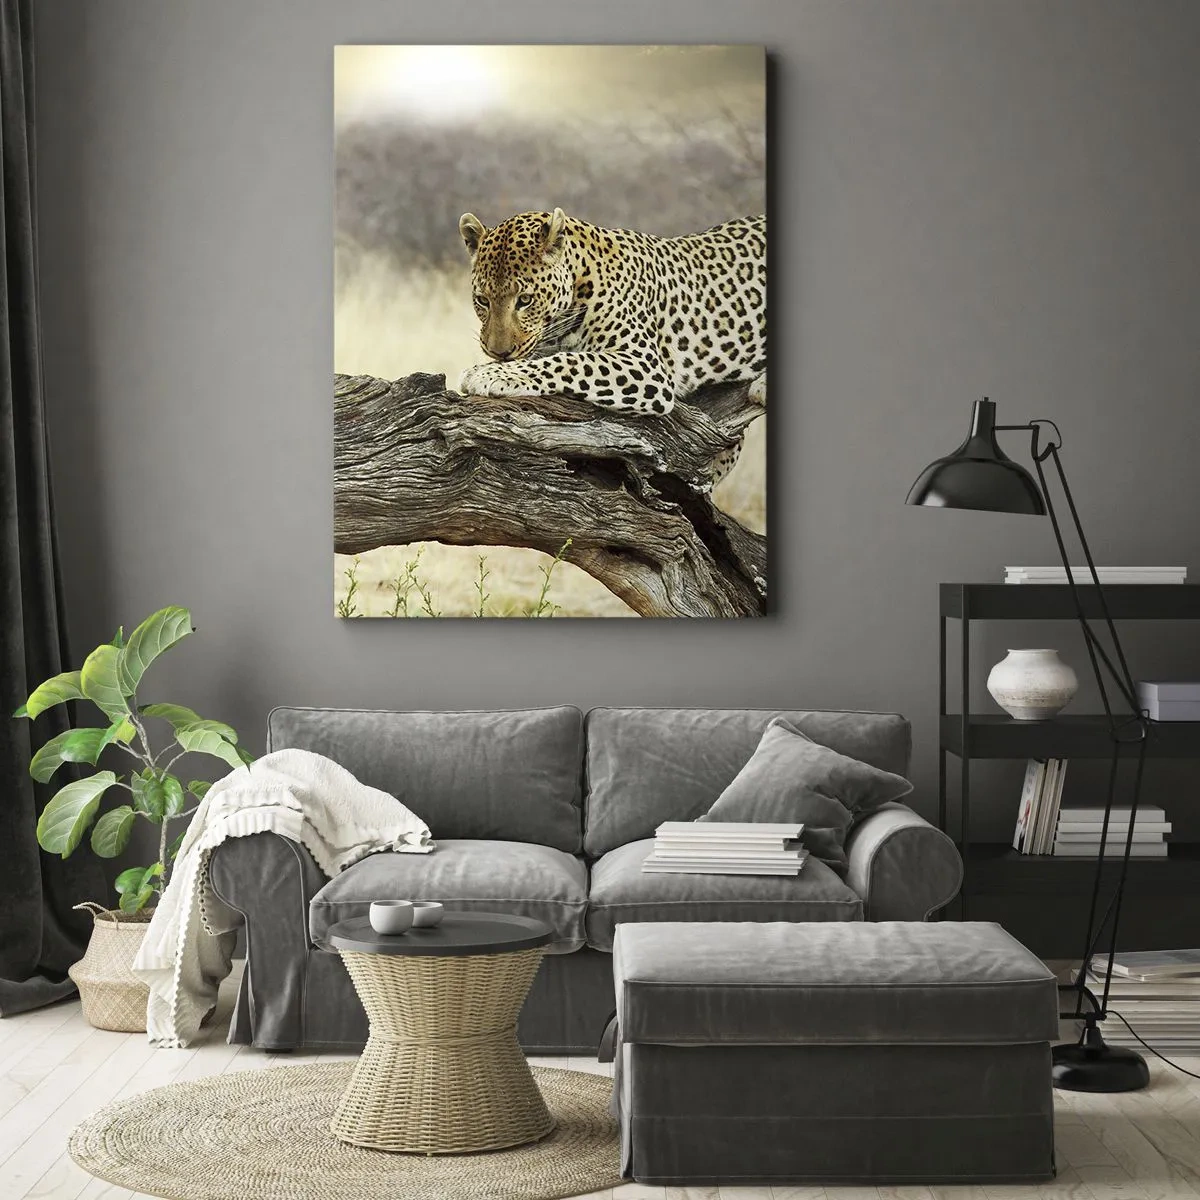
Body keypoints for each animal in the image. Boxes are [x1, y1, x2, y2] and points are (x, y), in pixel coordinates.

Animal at [456, 207, 766, 483]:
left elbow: (572, 361)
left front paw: (488, 374)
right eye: (482, 300)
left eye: (525, 300)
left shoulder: (645, 364)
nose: (498, 352)